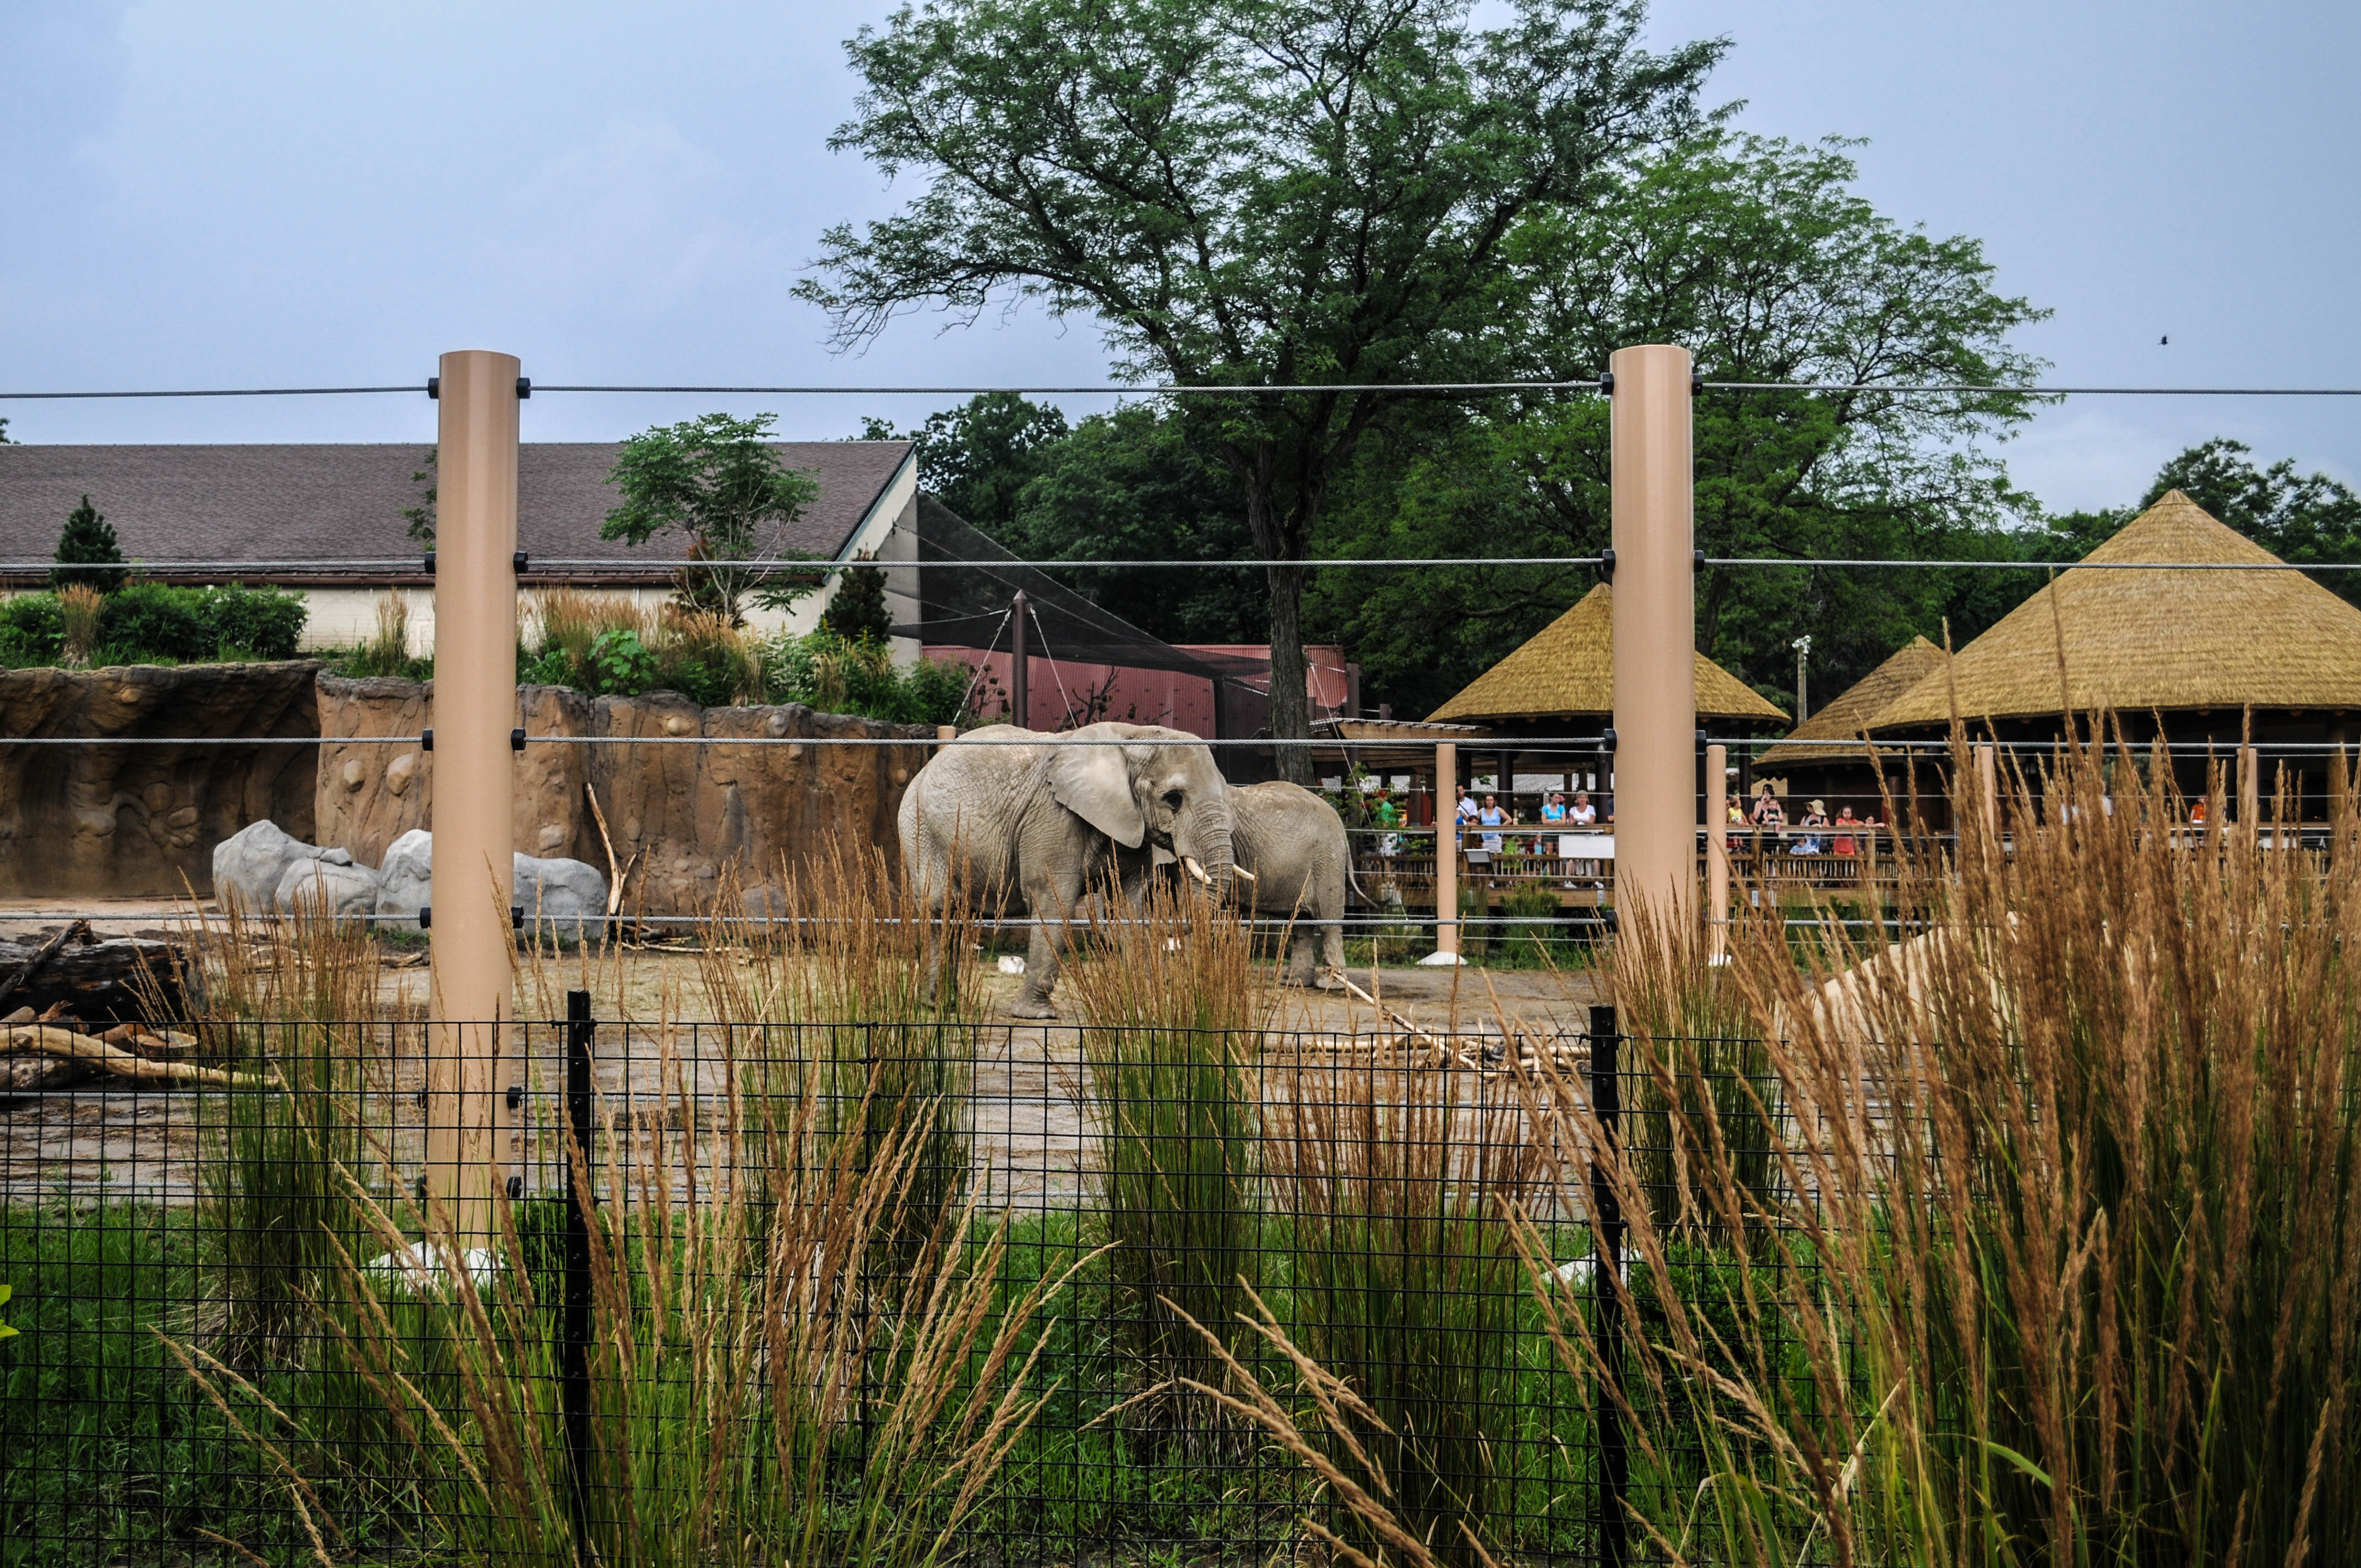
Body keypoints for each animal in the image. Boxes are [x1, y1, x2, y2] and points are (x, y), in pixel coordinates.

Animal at [897, 717, 1237, 1015]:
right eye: (1173, 799)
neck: (1131, 736)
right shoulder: (1053, 818)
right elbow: (1054, 900)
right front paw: (1035, 1015)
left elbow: (1127, 907)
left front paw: (1142, 1011)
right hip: (923, 832)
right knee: (941, 909)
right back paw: (937, 1004)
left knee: (958, 914)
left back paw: (947, 1004)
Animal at [1237, 779, 1369, 987]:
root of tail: (1340, 823)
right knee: (1302, 923)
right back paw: (1293, 981)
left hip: (1327, 861)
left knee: (1327, 919)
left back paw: (1330, 982)